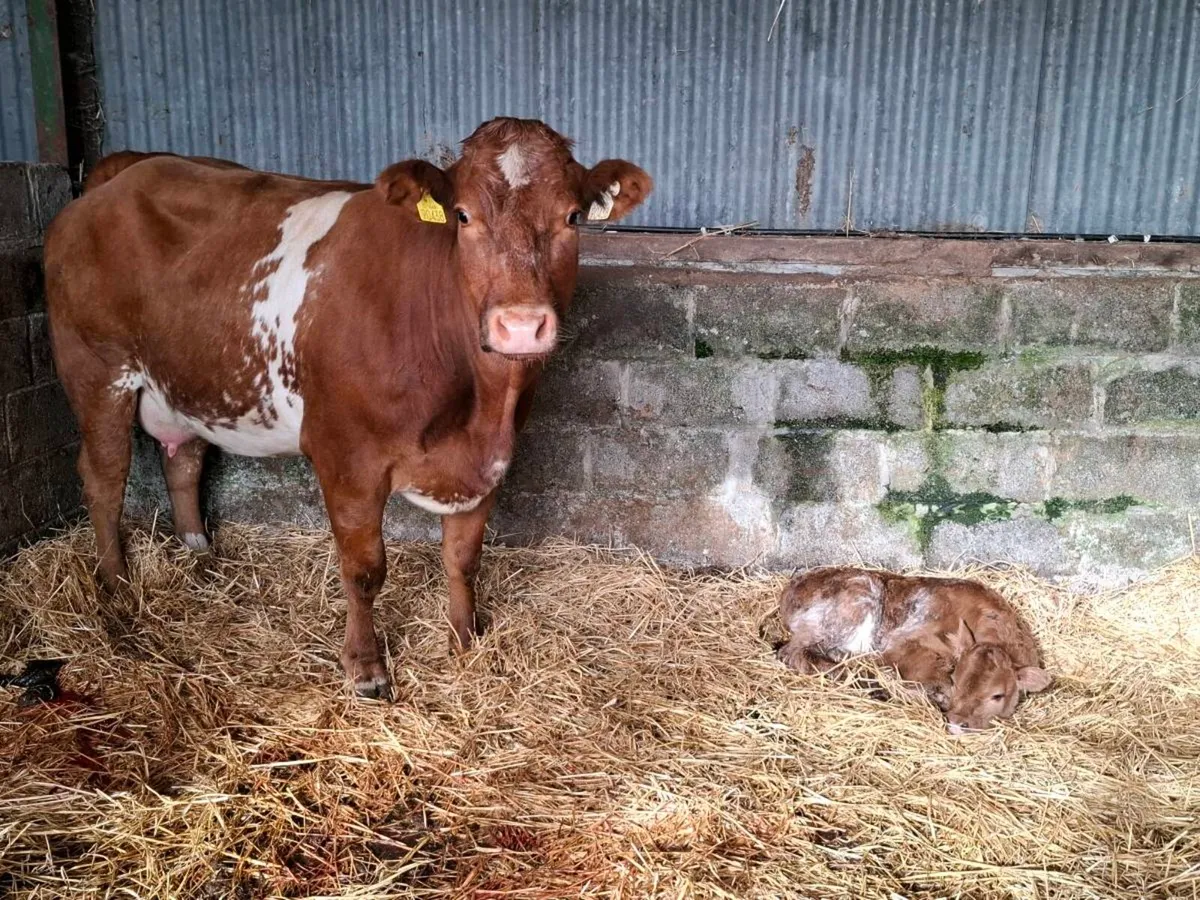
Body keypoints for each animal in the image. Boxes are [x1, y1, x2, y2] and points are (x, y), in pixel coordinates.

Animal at [44, 117, 651, 699]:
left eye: (572, 216)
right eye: (462, 215)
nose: (521, 326)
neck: (477, 409)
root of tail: (122, 172)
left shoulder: (490, 462)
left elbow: (463, 559)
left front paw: (464, 641)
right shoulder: (347, 459)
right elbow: (363, 570)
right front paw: (366, 668)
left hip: (187, 381)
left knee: (184, 461)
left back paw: (199, 558)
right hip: (96, 370)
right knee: (104, 477)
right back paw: (117, 585)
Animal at [777, 568, 1052, 732]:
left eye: (998, 695)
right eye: (957, 680)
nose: (956, 722)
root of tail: (790, 589)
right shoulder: (901, 643)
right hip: (852, 604)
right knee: (793, 653)